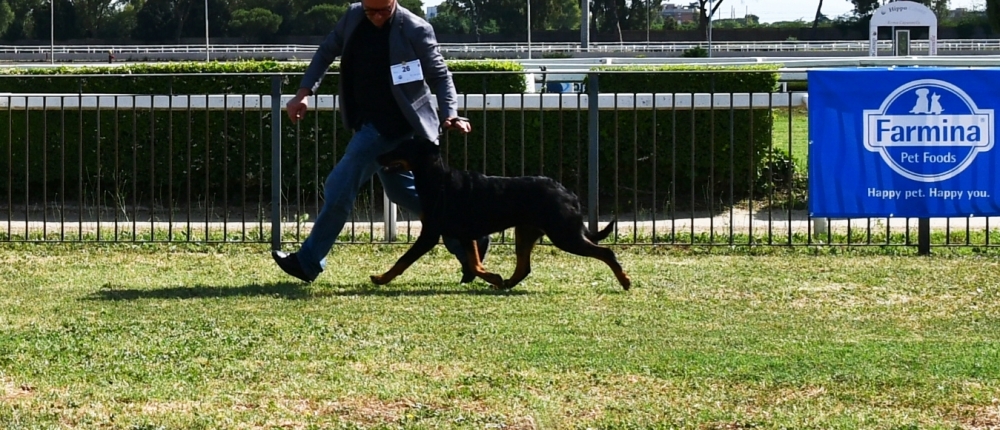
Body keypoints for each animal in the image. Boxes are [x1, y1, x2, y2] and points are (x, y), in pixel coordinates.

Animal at [372, 136, 628, 290]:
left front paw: (381, 278)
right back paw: (504, 284)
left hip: (564, 234)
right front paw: (493, 276)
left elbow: (403, 260)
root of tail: (569, 194)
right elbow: (475, 263)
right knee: (524, 267)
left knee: (606, 252)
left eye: (401, 148)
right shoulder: (465, 235)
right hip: (526, 232)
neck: (437, 181)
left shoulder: (430, 234)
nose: (378, 156)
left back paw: (625, 281)